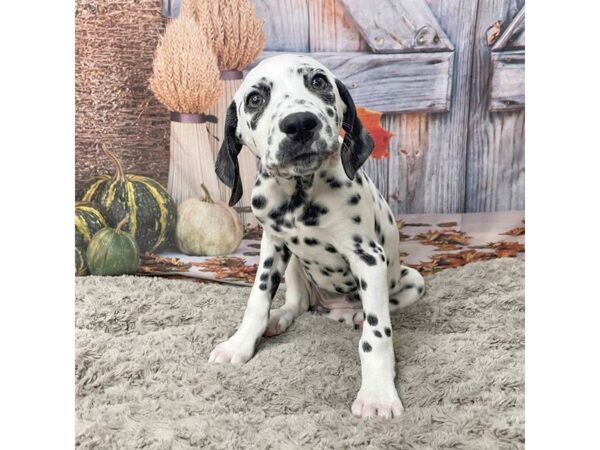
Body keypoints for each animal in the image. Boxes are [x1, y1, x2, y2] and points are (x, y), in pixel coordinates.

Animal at [209, 53, 424, 418]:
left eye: (319, 82)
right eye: (255, 99)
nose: (299, 124)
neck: (300, 193)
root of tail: (331, 306)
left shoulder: (369, 258)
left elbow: (377, 334)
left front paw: (378, 394)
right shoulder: (273, 247)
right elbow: (257, 300)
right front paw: (239, 344)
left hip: (411, 280)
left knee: (378, 311)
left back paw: (354, 316)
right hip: (295, 267)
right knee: (298, 304)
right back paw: (278, 318)